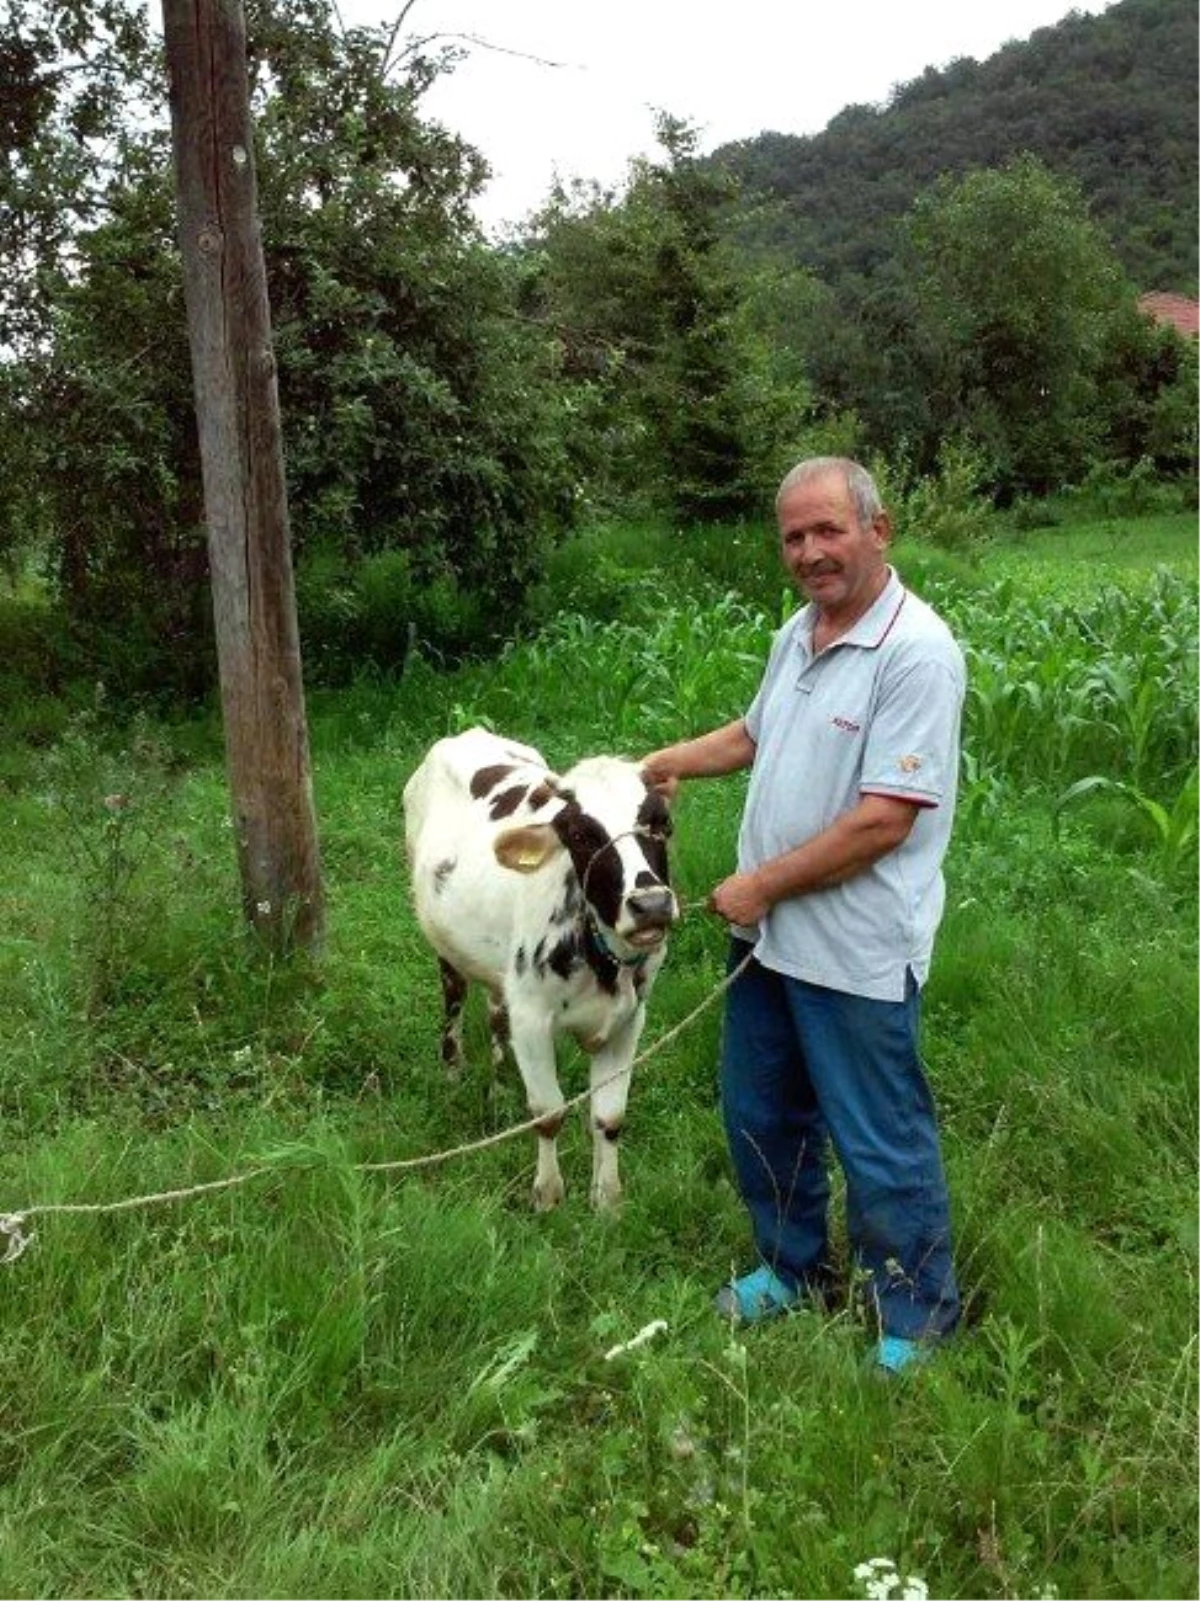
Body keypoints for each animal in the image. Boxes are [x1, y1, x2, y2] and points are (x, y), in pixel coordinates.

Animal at [404, 733, 681, 1203]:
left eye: (660, 822)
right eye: (581, 834)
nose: (651, 905)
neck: (601, 961)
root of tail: (468, 733)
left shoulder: (629, 1019)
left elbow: (609, 1118)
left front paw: (607, 1200)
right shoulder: (533, 1018)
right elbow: (549, 1114)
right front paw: (548, 1196)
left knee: (496, 1012)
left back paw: (499, 1082)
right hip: (445, 948)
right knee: (454, 1002)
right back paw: (454, 1072)